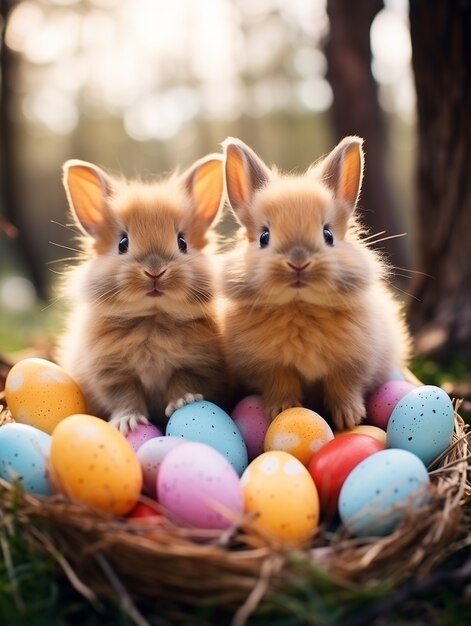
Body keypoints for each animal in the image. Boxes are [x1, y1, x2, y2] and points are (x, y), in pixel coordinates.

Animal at [57, 154, 227, 432]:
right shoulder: (113, 376)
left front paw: (184, 402)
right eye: (122, 243)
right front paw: (129, 422)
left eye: (182, 242)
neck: (152, 320)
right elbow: (125, 397)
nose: (155, 271)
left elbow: (183, 382)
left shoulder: (194, 367)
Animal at [220, 136, 410, 428]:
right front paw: (284, 409)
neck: (300, 307)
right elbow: (281, 385)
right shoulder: (270, 368)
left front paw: (349, 419)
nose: (298, 262)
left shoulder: (352, 363)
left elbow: (344, 386)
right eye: (264, 237)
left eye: (328, 234)